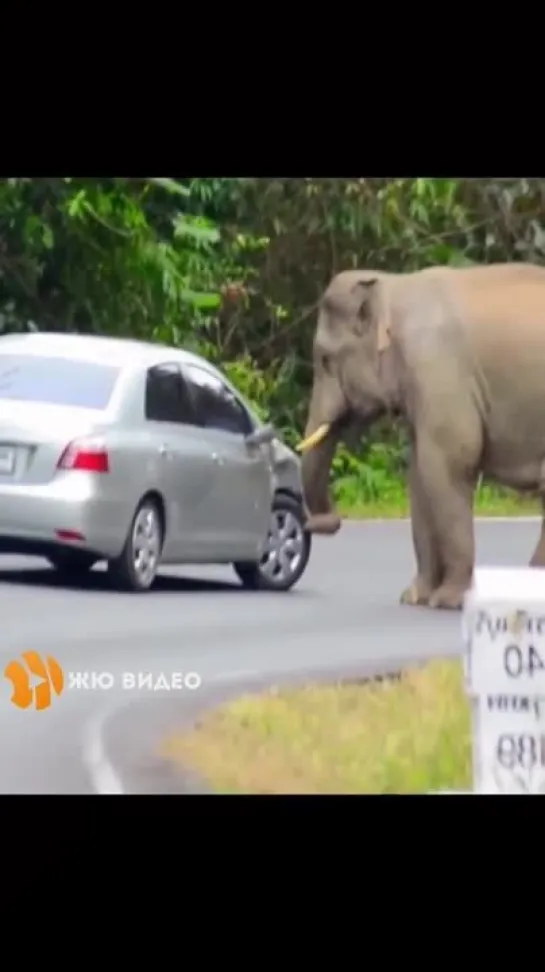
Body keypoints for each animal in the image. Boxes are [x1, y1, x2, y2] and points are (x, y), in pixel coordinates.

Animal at [298, 262, 545, 612]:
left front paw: (448, 601)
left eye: (325, 359)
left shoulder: (438, 371)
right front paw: (414, 598)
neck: (393, 285)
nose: (323, 523)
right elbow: (418, 476)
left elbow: (447, 464)